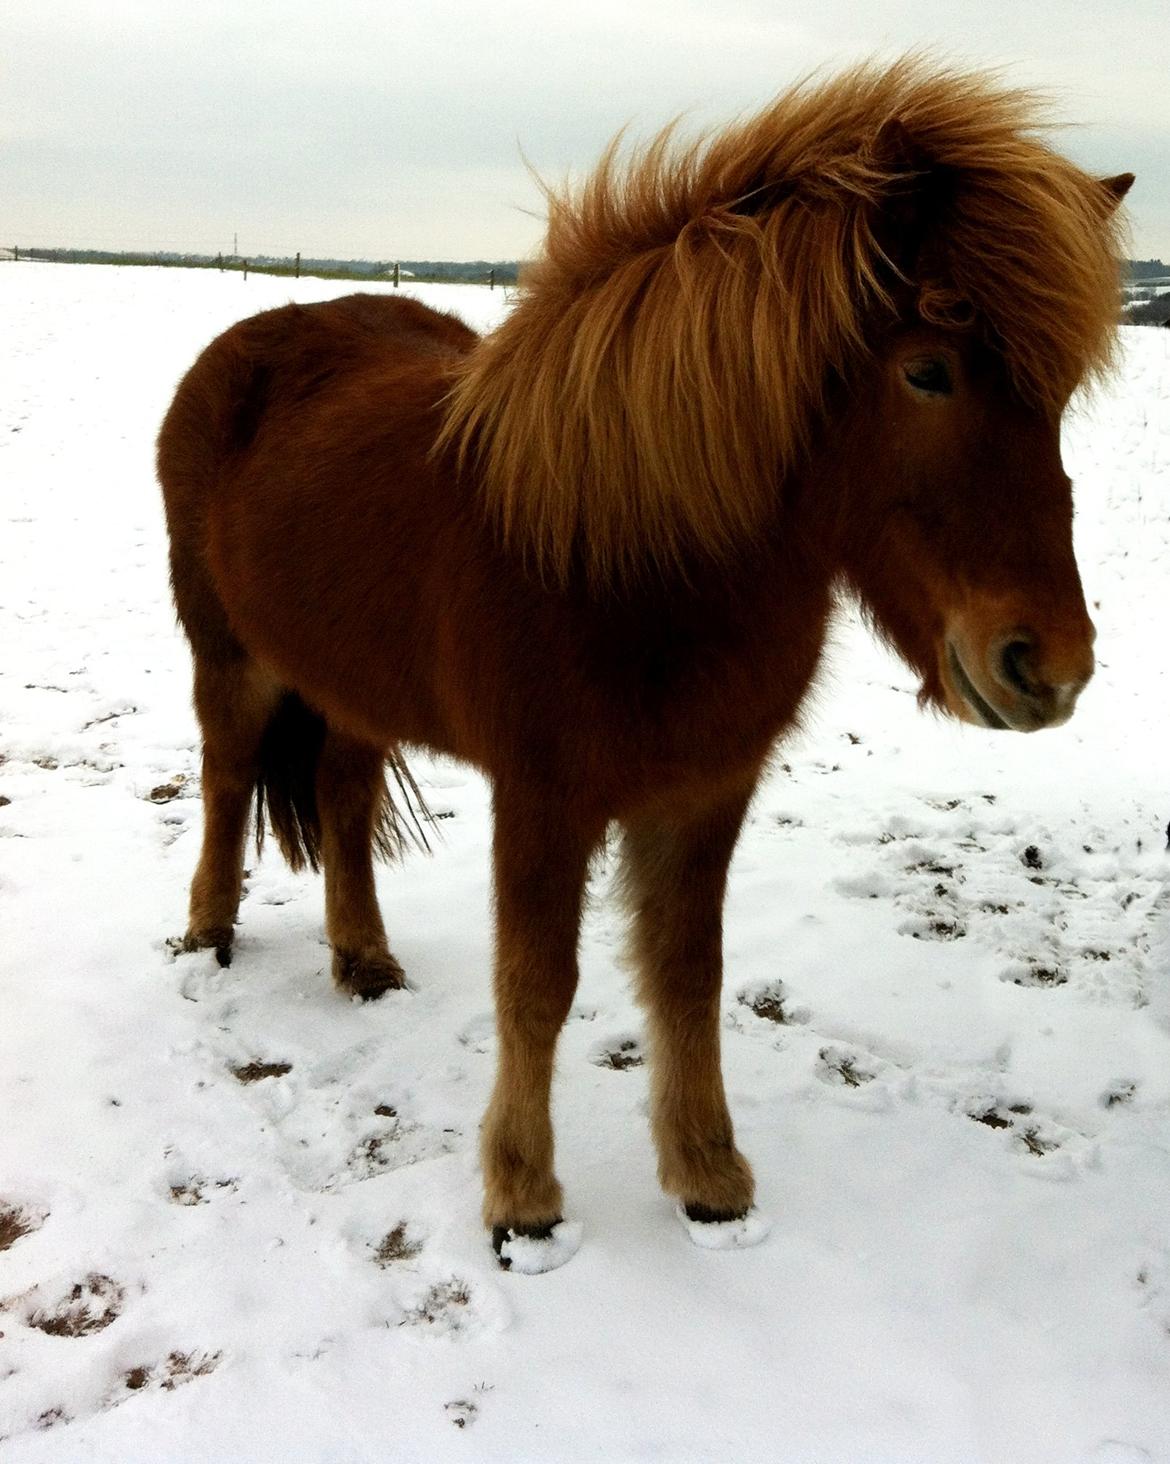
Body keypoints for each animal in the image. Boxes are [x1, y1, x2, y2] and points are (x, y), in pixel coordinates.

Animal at [158, 62, 1136, 1264]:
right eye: (927, 371)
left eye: (1059, 395)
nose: (1050, 665)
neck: (634, 554)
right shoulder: (544, 798)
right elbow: (538, 983)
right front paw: (524, 1199)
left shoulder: (708, 791)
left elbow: (687, 975)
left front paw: (709, 1177)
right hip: (230, 656)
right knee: (224, 779)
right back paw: (209, 934)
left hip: (352, 684)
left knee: (340, 796)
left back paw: (366, 962)